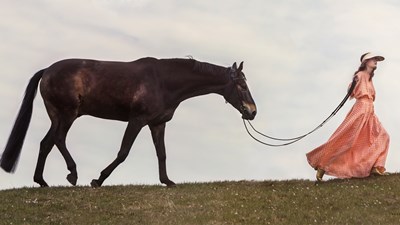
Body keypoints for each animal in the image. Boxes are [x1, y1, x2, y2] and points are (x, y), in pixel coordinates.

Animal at [0, 57, 256, 187]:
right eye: (242, 85)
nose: (252, 112)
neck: (164, 81)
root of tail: (47, 70)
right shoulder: (137, 120)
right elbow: (123, 152)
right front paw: (98, 179)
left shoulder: (157, 124)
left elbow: (162, 154)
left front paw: (167, 181)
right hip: (68, 114)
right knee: (58, 139)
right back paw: (72, 174)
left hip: (57, 115)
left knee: (47, 143)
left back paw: (41, 181)